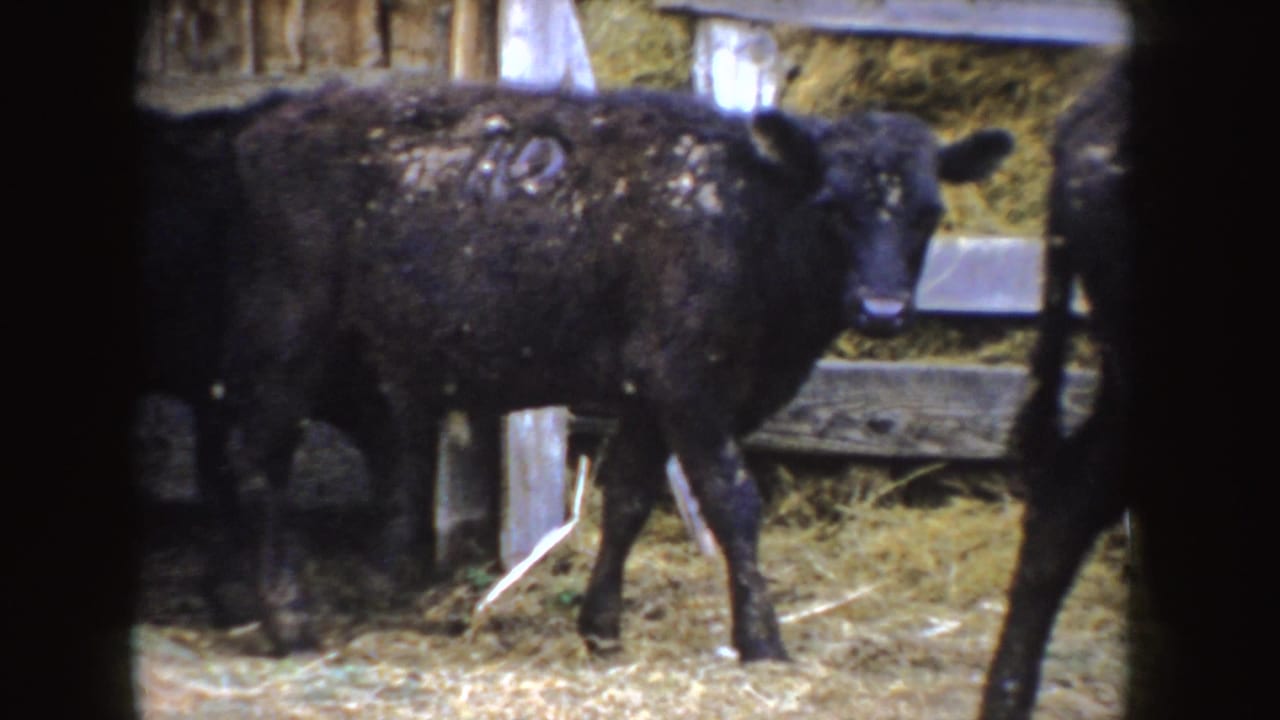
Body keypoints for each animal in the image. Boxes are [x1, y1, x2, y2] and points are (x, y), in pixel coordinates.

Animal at [218, 80, 1013, 657]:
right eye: (834, 206)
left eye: (930, 214)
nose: (882, 310)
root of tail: (270, 117)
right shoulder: (692, 384)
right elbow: (733, 501)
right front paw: (760, 637)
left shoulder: (650, 391)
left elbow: (628, 498)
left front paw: (601, 625)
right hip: (286, 340)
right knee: (258, 463)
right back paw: (286, 619)